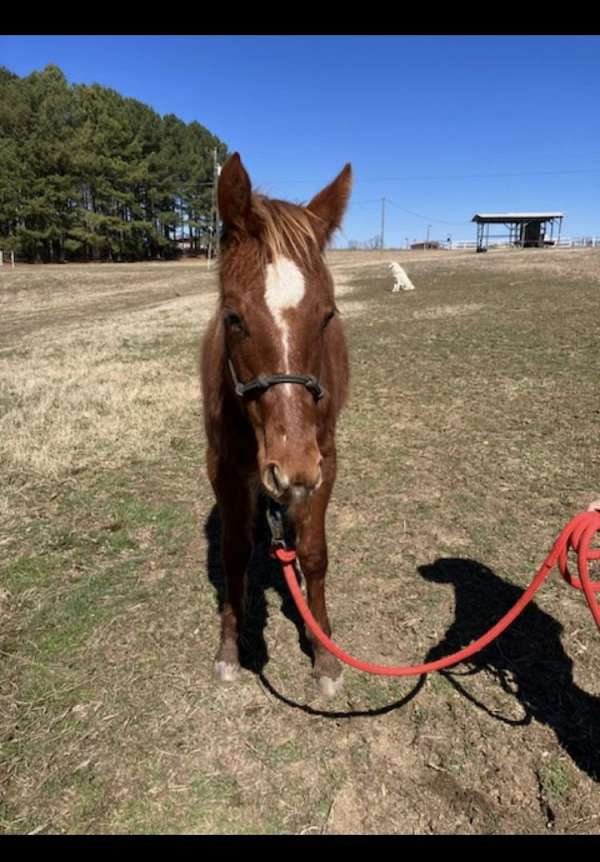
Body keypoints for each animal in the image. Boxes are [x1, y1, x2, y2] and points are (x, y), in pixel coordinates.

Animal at [202, 154, 352, 696]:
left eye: (327, 315)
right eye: (233, 317)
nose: (293, 469)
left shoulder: (326, 460)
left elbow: (314, 552)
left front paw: (323, 650)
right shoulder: (224, 467)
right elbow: (233, 553)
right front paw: (230, 645)